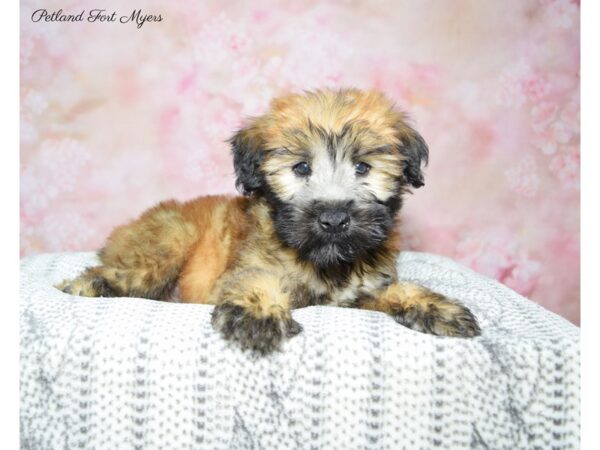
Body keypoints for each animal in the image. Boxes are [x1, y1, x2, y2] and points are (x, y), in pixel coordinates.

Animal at [56, 89, 478, 356]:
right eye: (301, 168)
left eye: (363, 167)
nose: (333, 219)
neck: (324, 263)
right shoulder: (248, 267)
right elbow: (256, 280)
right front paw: (258, 312)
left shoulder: (362, 290)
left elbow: (395, 291)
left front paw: (434, 306)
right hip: (167, 242)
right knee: (126, 272)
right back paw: (89, 284)